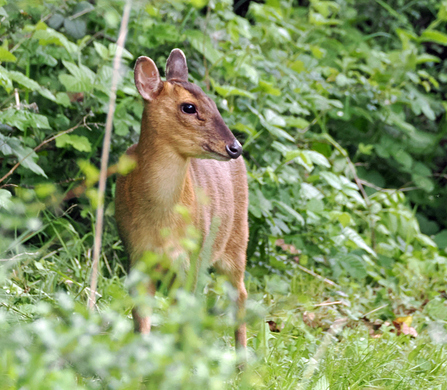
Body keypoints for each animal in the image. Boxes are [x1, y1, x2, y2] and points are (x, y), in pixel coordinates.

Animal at [114, 48, 248, 350]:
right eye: (189, 107)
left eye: (213, 102)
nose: (235, 147)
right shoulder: (137, 254)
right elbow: (141, 316)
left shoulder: (192, 257)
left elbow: (184, 316)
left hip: (236, 241)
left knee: (240, 295)